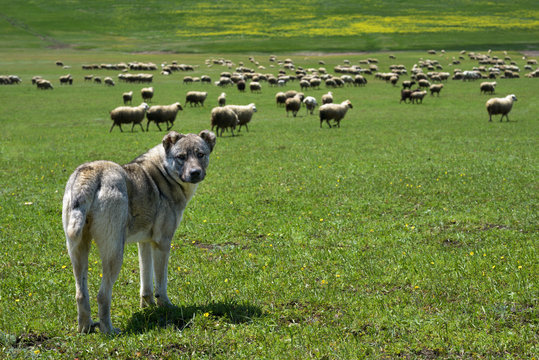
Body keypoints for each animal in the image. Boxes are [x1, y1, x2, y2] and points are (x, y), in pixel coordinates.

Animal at [61, 130, 217, 334]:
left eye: (200, 155)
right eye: (181, 157)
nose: (195, 173)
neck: (165, 173)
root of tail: (91, 173)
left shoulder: (144, 243)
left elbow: (146, 282)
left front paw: (147, 306)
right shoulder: (162, 243)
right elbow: (161, 283)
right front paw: (165, 307)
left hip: (78, 252)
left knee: (81, 294)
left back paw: (86, 328)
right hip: (115, 254)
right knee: (102, 295)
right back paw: (109, 330)